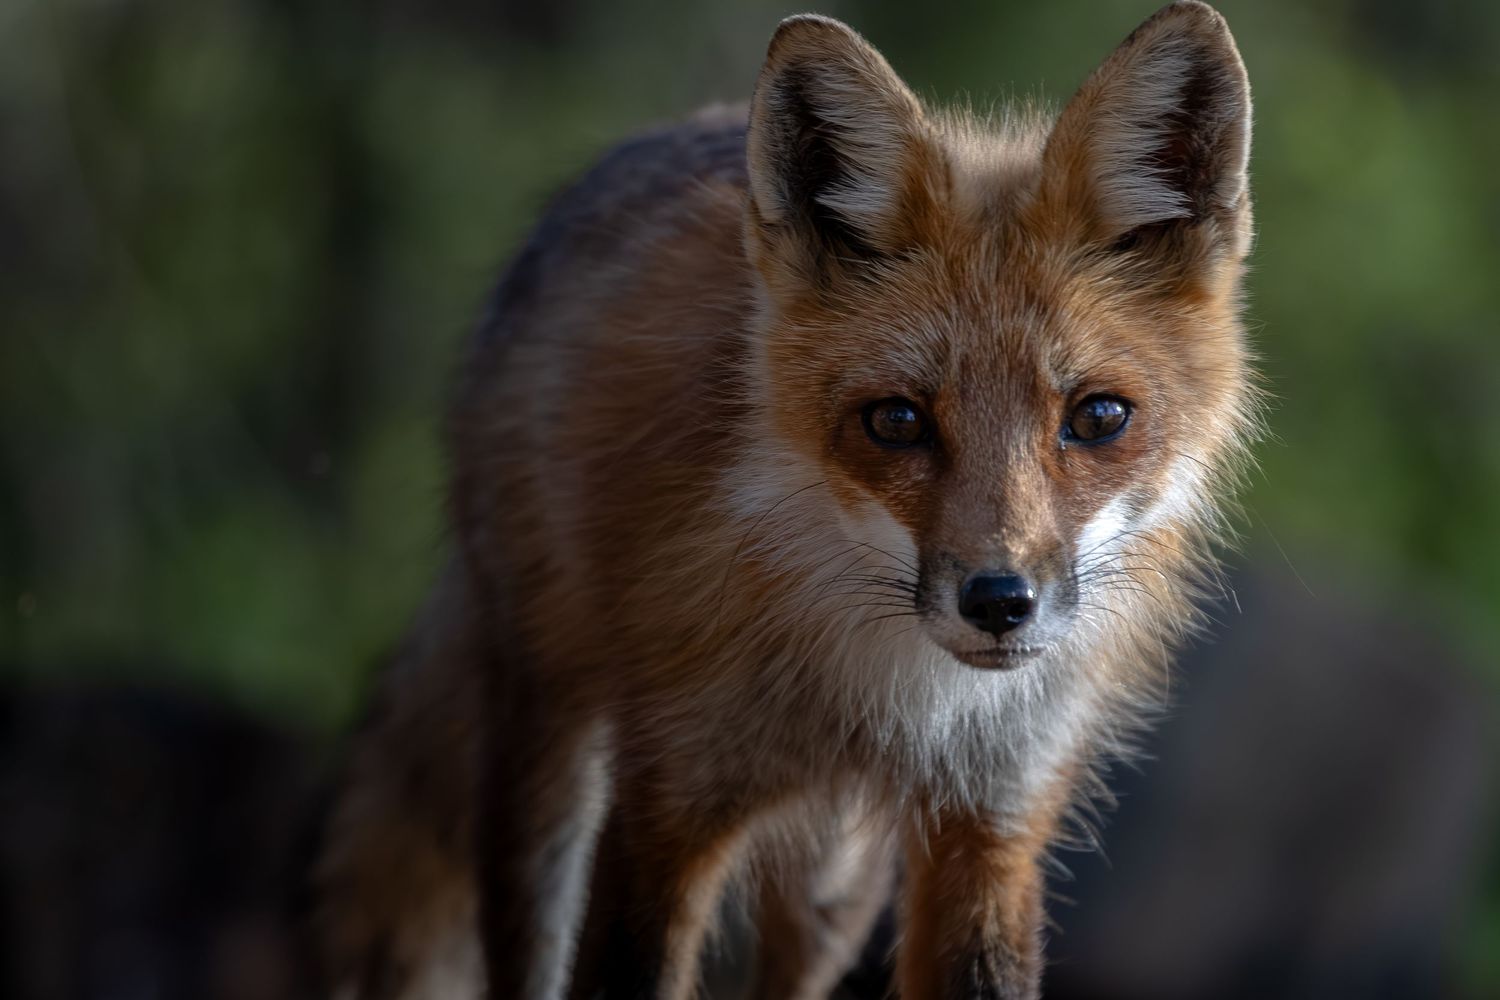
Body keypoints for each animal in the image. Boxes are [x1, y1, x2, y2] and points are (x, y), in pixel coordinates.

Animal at [311, 3, 1257, 998]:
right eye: (896, 420)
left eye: (1099, 417)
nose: (1000, 602)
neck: (876, 693)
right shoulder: (666, 805)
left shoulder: (992, 823)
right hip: (547, 762)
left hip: (831, 887)